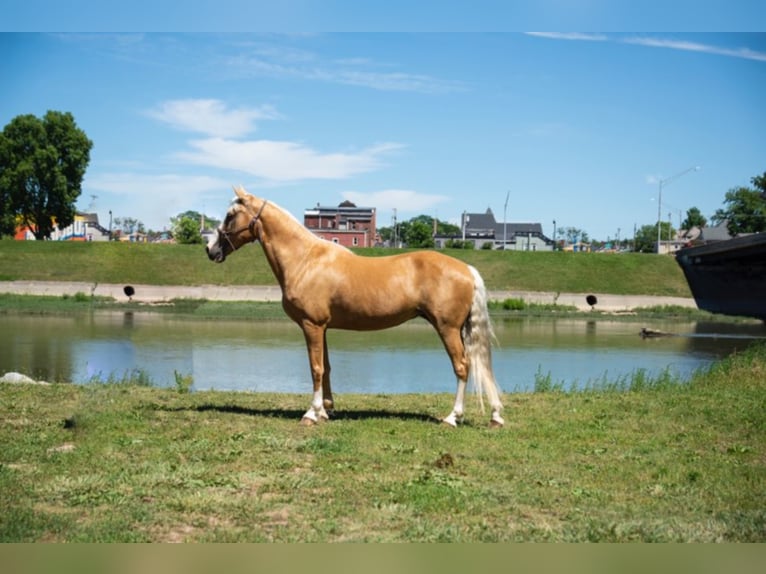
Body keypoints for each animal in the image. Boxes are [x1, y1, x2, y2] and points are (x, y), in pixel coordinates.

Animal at [206, 188, 504, 428]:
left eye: (230, 215)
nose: (210, 249)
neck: (305, 260)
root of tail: (466, 269)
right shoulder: (322, 327)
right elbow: (326, 367)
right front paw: (326, 411)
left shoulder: (311, 325)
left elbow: (315, 368)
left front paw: (311, 414)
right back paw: (495, 416)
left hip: (448, 328)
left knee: (462, 366)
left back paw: (453, 417)